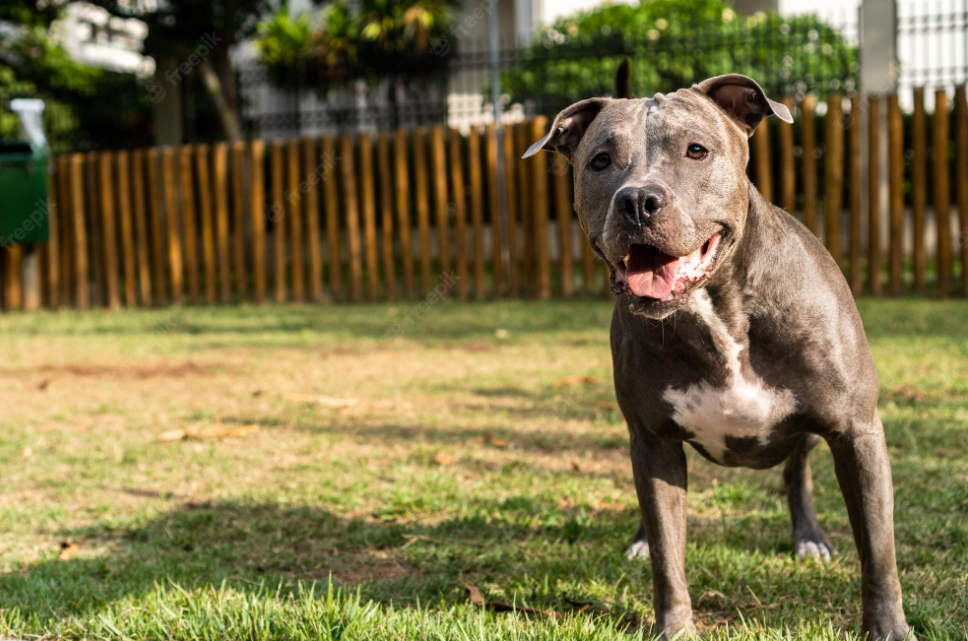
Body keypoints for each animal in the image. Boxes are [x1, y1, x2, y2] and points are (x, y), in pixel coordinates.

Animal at [524, 72, 920, 636]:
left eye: (696, 150)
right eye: (599, 160)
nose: (638, 200)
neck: (717, 312)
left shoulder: (857, 431)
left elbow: (879, 552)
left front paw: (888, 628)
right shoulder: (654, 443)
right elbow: (668, 554)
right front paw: (674, 627)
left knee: (797, 472)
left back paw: (808, 538)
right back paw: (640, 541)